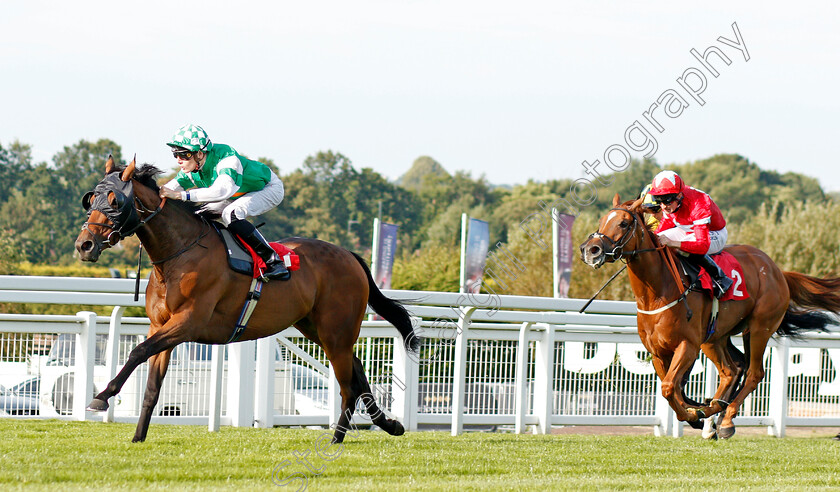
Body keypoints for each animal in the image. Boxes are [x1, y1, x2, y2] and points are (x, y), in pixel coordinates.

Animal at [74, 157, 418, 442]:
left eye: (115, 201)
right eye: (91, 199)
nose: (84, 245)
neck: (180, 252)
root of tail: (349, 255)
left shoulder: (188, 322)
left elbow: (137, 352)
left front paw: (101, 397)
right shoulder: (161, 326)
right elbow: (151, 386)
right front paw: (138, 437)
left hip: (336, 331)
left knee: (348, 384)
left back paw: (336, 439)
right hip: (317, 329)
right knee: (357, 371)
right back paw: (390, 425)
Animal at [580, 194, 840, 440]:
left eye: (624, 223)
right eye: (602, 221)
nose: (591, 250)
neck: (657, 293)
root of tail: (777, 271)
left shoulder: (688, 345)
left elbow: (669, 387)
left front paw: (691, 415)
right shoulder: (657, 351)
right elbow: (673, 388)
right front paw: (696, 414)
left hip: (758, 329)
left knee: (753, 373)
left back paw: (725, 420)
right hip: (715, 337)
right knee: (731, 370)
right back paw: (712, 411)